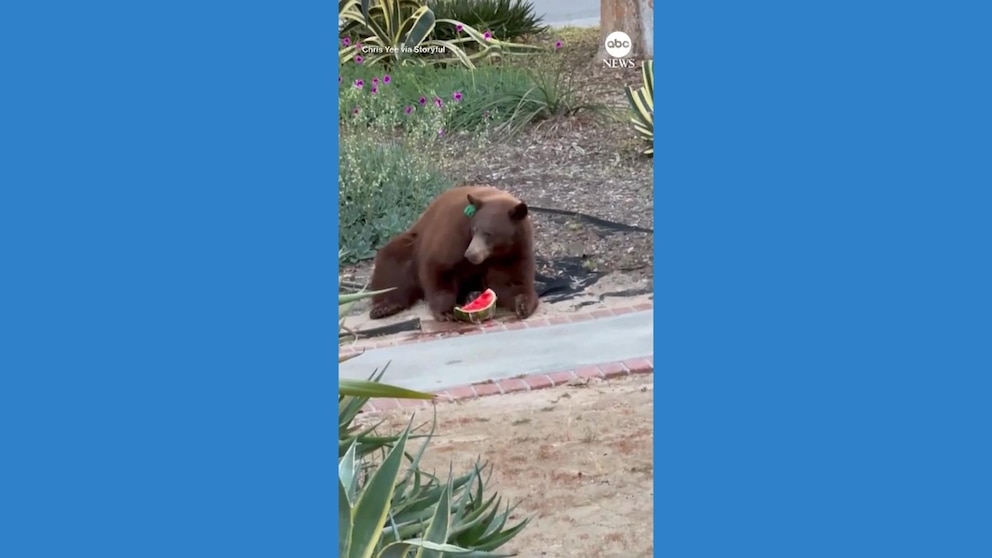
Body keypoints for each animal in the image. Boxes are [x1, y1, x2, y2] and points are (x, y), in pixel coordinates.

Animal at [368, 186, 540, 322]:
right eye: (474, 230)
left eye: (489, 234)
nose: (471, 254)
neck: (497, 252)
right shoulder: (455, 234)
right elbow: (439, 267)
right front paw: (445, 311)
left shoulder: (514, 252)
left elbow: (512, 281)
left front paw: (523, 304)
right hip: (411, 243)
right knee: (392, 262)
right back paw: (385, 307)